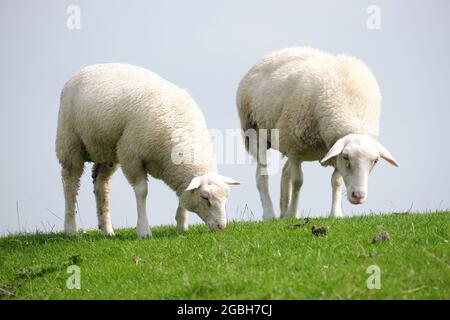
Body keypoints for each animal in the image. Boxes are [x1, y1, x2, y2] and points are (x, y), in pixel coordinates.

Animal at [56, 63, 241, 238]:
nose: (221, 227)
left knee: (101, 185)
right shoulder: (131, 156)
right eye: (205, 198)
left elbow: (182, 194)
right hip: (69, 142)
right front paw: (144, 231)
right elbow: (142, 191)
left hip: (106, 150)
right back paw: (71, 229)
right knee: (70, 184)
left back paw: (107, 230)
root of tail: (86, 69)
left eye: (226, 197)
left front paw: (182, 226)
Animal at [237, 47, 400, 220]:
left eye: (375, 161)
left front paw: (335, 214)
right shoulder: (295, 149)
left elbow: (336, 181)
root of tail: (277, 52)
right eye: (346, 157)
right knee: (262, 175)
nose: (358, 196)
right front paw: (293, 215)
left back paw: (283, 212)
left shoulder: (331, 149)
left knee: (285, 173)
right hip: (254, 131)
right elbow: (298, 181)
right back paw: (270, 214)